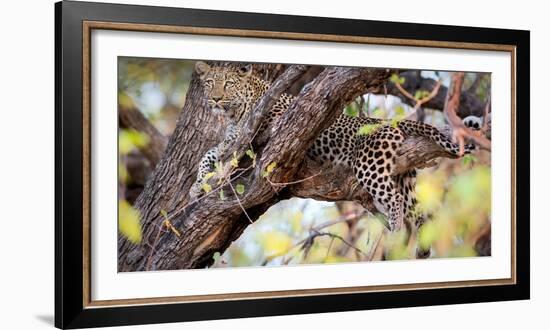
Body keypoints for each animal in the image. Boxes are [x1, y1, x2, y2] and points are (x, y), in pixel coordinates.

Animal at [190, 61, 478, 258]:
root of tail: (390, 123)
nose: (215, 98)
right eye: (210, 82)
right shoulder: (232, 138)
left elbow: (248, 139)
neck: (235, 111)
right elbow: (209, 153)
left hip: (370, 165)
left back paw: (395, 233)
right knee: (418, 210)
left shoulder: (274, 119)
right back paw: (422, 248)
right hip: (403, 174)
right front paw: (196, 186)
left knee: (395, 200)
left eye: (228, 84)